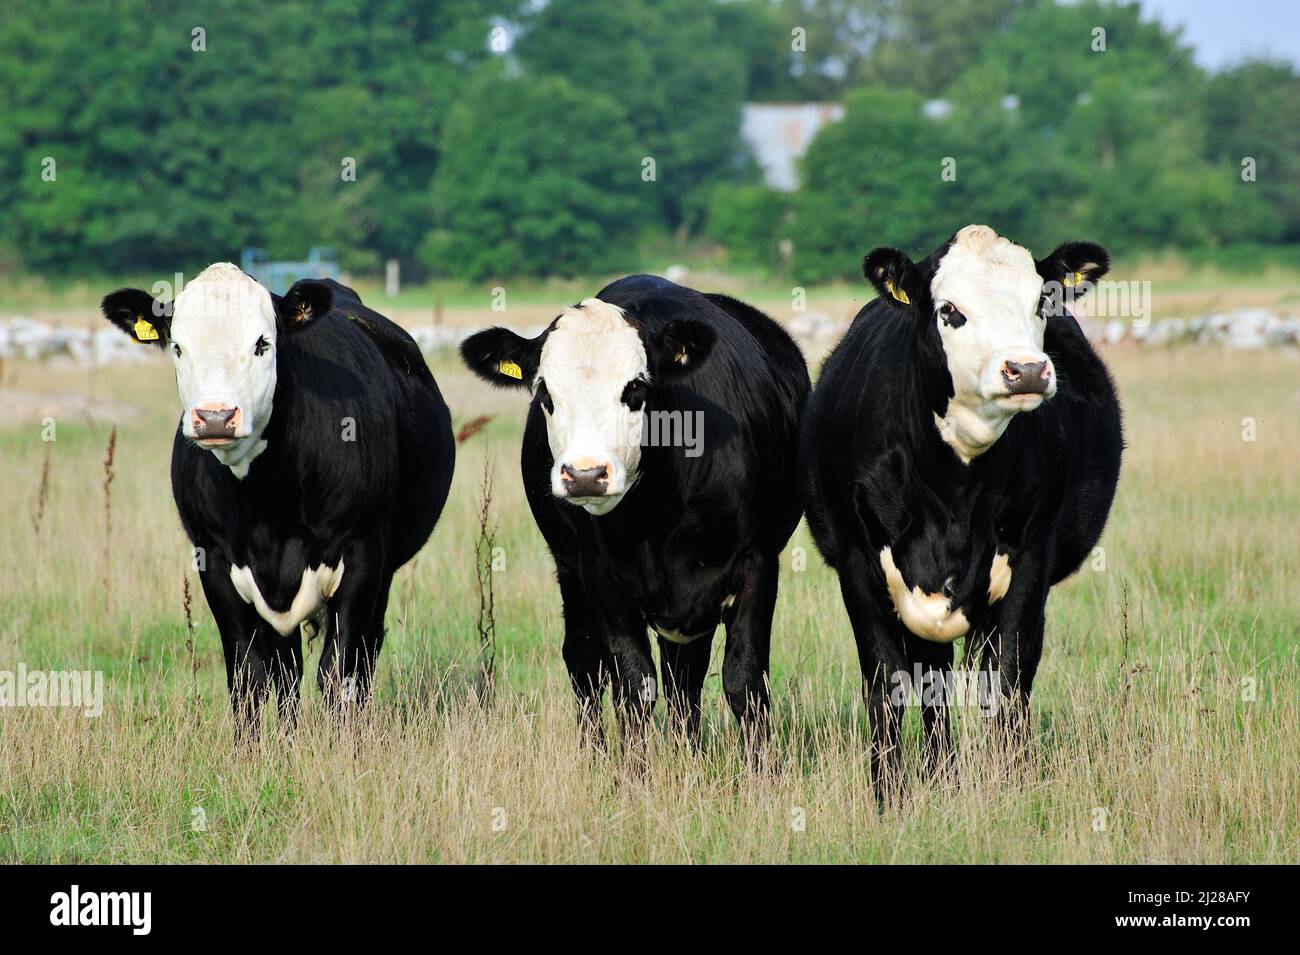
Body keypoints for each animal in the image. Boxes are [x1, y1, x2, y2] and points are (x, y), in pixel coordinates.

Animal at [101, 264, 455, 741]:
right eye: (177, 345)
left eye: (261, 343)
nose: (215, 417)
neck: (268, 501)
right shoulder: (215, 560)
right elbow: (249, 675)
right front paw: (252, 753)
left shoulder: (363, 554)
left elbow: (339, 670)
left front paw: (344, 749)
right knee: (287, 669)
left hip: (384, 569)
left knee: (365, 653)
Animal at [460, 274, 809, 755]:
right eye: (545, 393)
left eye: (636, 389)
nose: (585, 475)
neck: (656, 514)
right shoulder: (601, 575)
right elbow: (634, 685)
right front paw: (632, 771)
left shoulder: (757, 563)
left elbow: (744, 682)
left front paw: (761, 770)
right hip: (572, 572)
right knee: (587, 662)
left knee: (685, 674)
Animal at [799, 225, 1122, 793]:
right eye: (949, 310)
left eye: (1041, 299)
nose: (1027, 370)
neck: (953, 489)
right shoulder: (859, 565)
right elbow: (886, 684)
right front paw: (890, 793)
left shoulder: (1031, 559)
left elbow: (1009, 679)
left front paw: (1017, 785)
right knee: (932, 678)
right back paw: (938, 771)